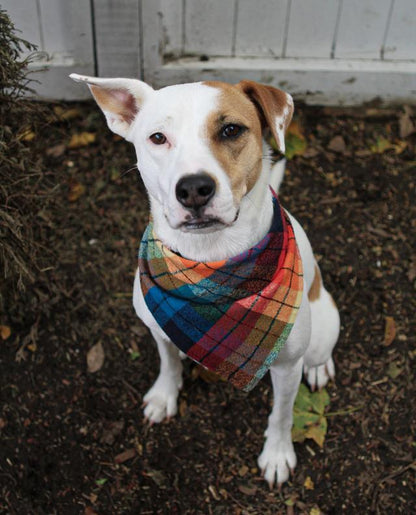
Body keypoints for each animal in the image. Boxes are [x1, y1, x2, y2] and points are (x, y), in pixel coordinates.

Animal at [70, 72, 338, 488]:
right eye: (157, 137)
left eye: (231, 130)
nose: (193, 188)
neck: (210, 265)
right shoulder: (158, 326)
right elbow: (167, 362)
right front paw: (165, 394)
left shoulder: (286, 367)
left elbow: (282, 413)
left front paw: (277, 453)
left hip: (324, 326)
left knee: (319, 353)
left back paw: (319, 367)